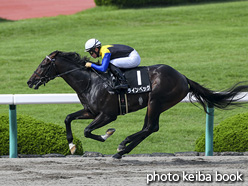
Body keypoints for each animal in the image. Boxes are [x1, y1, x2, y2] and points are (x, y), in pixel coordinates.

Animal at [27, 50, 248, 158]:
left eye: (43, 64)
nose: (30, 81)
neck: (90, 81)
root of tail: (183, 77)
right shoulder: (90, 111)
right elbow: (68, 118)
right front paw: (72, 146)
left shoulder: (108, 115)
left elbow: (88, 131)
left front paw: (107, 135)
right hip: (154, 104)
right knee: (149, 127)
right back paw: (123, 150)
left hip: (156, 101)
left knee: (150, 127)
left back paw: (122, 147)